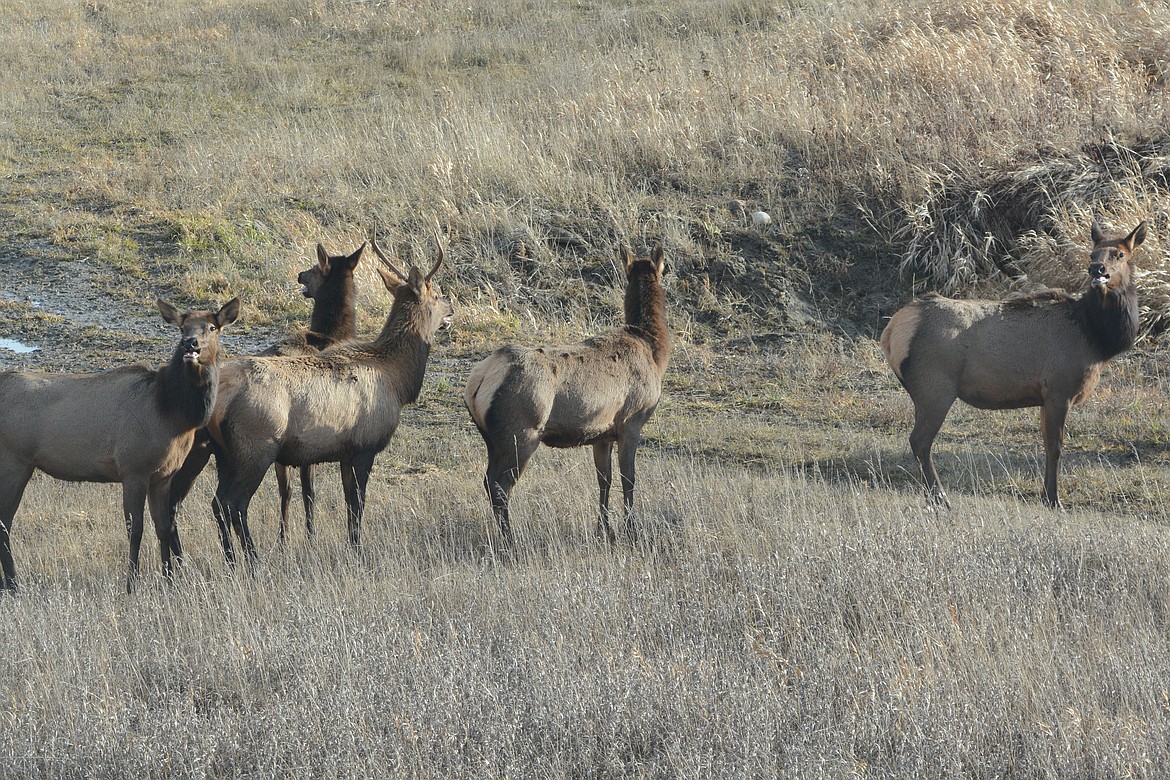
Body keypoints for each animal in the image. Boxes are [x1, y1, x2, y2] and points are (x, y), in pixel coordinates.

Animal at [0, 295, 239, 589]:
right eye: (182, 328)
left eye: (212, 327)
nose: (190, 343)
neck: (172, 414)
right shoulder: (133, 469)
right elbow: (135, 530)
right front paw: (131, 583)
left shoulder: (163, 475)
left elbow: (163, 527)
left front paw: (169, 579)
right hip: (14, 460)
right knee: (4, 522)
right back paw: (13, 583)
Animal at [207, 236, 451, 561]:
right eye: (435, 295)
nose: (451, 308)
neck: (398, 379)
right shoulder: (365, 445)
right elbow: (358, 503)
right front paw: (358, 550)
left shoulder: (345, 452)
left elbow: (348, 503)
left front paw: (351, 545)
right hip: (254, 446)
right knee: (234, 503)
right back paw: (253, 559)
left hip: (223, 452)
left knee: (217, 503)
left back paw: (231, 560)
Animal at [463, 244, 673, 542]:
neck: (654, 351)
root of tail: (477, 382)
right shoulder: (631, 421)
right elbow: (628, 479)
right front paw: (631, 530)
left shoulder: (602, 433)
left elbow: (604, 479)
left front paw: (604, 529)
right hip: (521, 432)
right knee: (499, 485)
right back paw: (510, 540)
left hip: (492, 438)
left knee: (489, 481)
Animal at [879, 222, 1146, 509]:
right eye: (1092, 254)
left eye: (1120, 254)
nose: (1097, 269)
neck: (1097, 339)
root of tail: (892, 330)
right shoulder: (1059, 389)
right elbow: (1056, 447)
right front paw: (1054, 499)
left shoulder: (1045, 397)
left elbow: (1046, 445)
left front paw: (1046, 495)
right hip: (935, 388)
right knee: (920, 441)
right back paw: (940, 497)